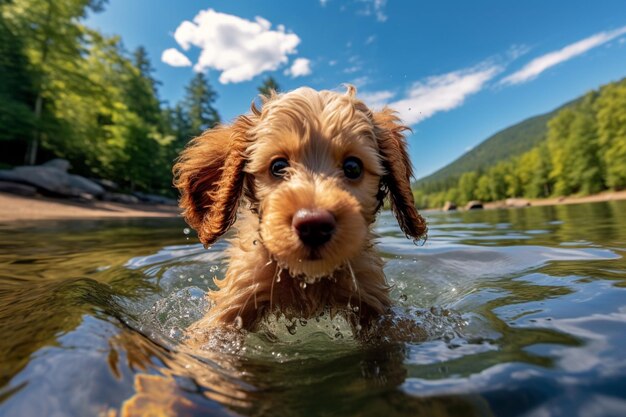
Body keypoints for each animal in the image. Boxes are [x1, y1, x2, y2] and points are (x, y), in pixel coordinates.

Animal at [173, 85, 426, 342]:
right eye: (278, 166)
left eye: (353, 167)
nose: (314, 226)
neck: (308, 281)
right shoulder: (237, 294)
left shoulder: (371, 293)